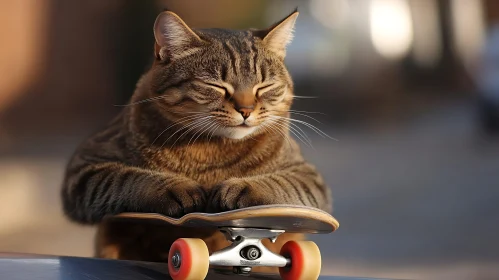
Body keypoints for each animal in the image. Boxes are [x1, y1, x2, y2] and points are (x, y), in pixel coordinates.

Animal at [61, 9, 332, 270]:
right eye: (216, 86)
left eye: (264, 87)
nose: (246, 110)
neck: (209, 151)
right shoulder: (85, 165)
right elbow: (127, 177)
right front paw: (175, 187)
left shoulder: (308, 177)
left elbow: (279, 182)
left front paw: (244, 188)